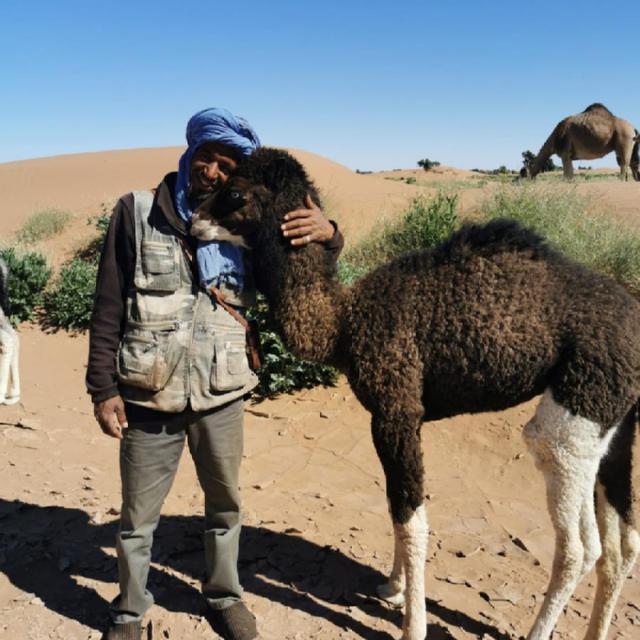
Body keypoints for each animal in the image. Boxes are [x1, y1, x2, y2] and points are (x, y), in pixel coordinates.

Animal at [191, 147, 640, 640]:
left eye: (234, 193)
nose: (193, 220)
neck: (345, 324)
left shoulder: (394, 410)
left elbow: (411, 520)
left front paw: (412, 624)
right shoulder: (404, 416)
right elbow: (395, 506)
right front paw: (393, 587)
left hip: (578, 408)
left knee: (580, 544)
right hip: (617, 420)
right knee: (623, 543)